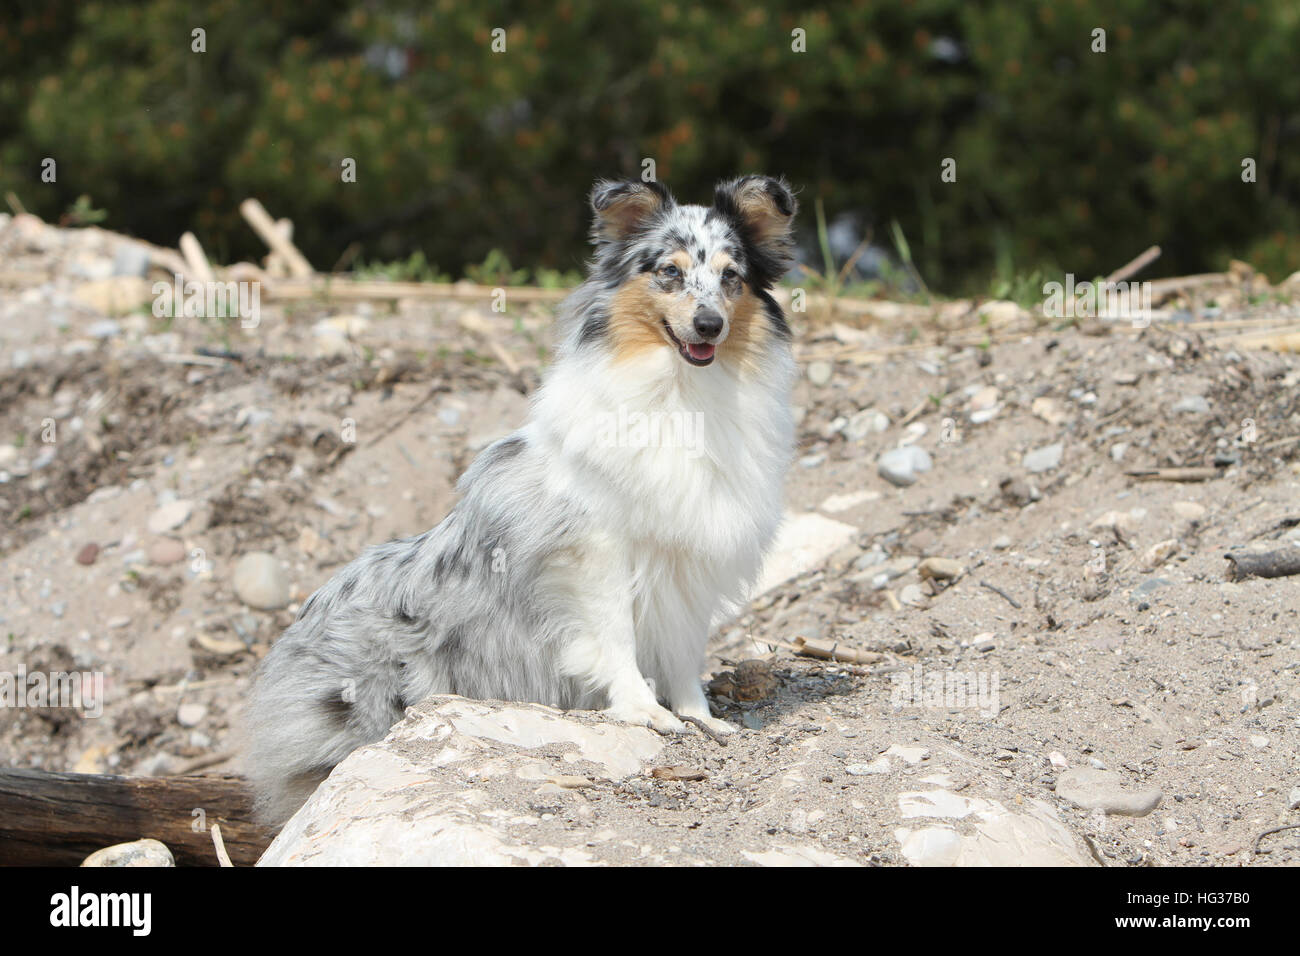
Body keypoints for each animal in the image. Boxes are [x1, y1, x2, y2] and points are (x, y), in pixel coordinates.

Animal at [240, 174, 795, 822]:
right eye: (669, 272)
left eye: (732, 276)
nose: (709, 325)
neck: (683, 395)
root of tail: (297, 627)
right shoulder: (595, 552)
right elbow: (617, 637)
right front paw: (644, 711)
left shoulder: (689, 562)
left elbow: (684, 650)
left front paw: (699, 717)